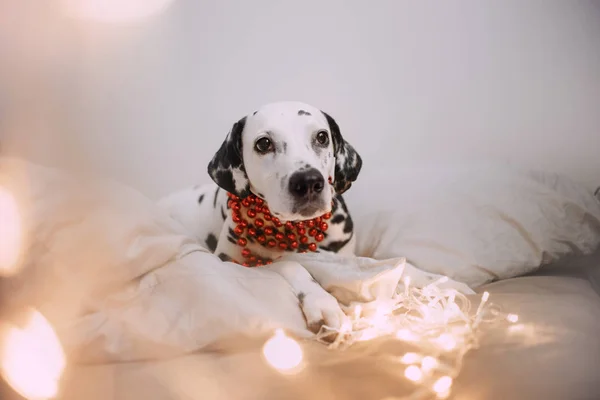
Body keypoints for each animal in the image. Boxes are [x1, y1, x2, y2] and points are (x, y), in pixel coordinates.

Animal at [158, 101, 474, 332]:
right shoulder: (232, 262)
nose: (308, 182)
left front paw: (440, 282)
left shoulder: (346, 256)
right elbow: (290, 265)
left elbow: (397, 266)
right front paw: (323, 302)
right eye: (263, 144)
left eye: (322, 136)